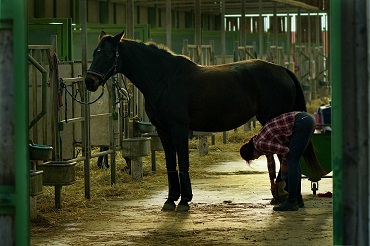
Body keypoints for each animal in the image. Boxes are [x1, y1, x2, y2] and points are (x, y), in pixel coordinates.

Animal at [85, 30, 322, 211]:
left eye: (108, 53)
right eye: (95, 52)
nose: (89, 81)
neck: (165, 79)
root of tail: (281, 69)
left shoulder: (179, 129)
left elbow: (183, 162)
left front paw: (184, 201)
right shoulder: (163, 131)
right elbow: (171, 164)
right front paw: (170, 200)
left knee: (286, 157)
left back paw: (289, 200)